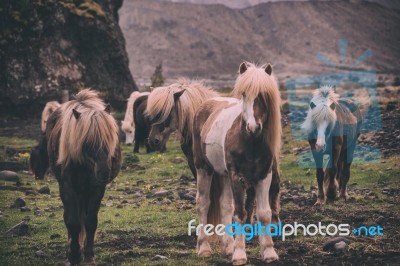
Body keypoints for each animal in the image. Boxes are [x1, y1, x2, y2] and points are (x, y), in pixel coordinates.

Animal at [40, 90, 122, 266]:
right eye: (87, 141)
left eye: (110, 139)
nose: (104, 172)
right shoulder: (68, 187)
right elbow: (73, 222)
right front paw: (74, 255)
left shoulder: (97, 188)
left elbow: (90, 222)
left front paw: (89, 257)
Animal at [193, 62, 282, 264]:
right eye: (244, 94)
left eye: (264, 95)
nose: (253, 127)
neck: (249, 142)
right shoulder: (237, 177)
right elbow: (241, 213)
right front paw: (240, 255)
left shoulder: (264, 176)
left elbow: (264, 213)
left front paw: (269, 252)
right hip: (204, 169)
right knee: (203, 203)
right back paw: (204, 248)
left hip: (224, 174)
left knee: (225, 205)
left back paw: (228, 247)